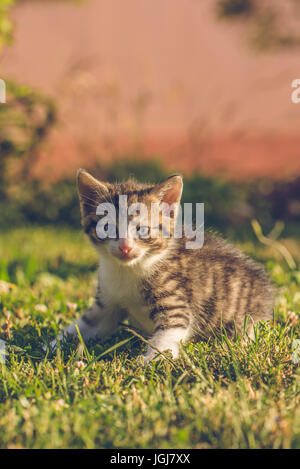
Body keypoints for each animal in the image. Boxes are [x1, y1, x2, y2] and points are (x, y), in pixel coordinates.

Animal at [52, 169, 274, 362]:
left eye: (142, 230)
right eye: (107, 227)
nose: (125, 247)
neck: (128, 270)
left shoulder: (174, 299)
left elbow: (170, 331)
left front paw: (150, 361)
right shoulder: (107, 303)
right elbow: (85, 324)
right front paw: (54, 344)